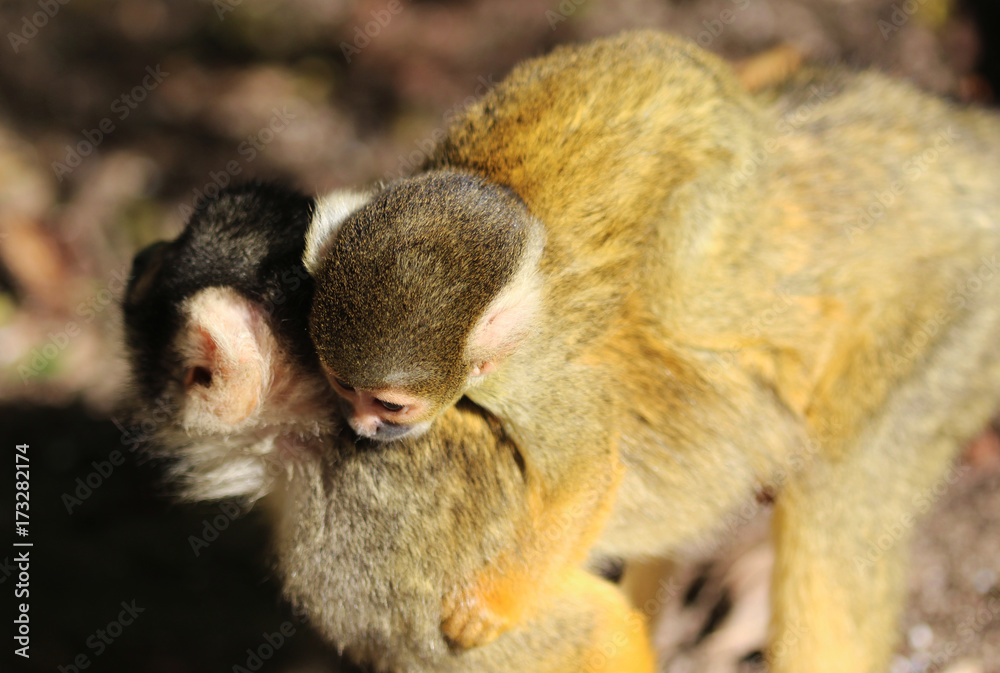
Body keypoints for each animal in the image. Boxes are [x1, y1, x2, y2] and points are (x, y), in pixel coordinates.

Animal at [306, 31, 1000, 672]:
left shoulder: (529, 376)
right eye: (340, 387)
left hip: (727, 197)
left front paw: (492, 606)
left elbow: (586, 478)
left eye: (390, 405)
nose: (360, 426)